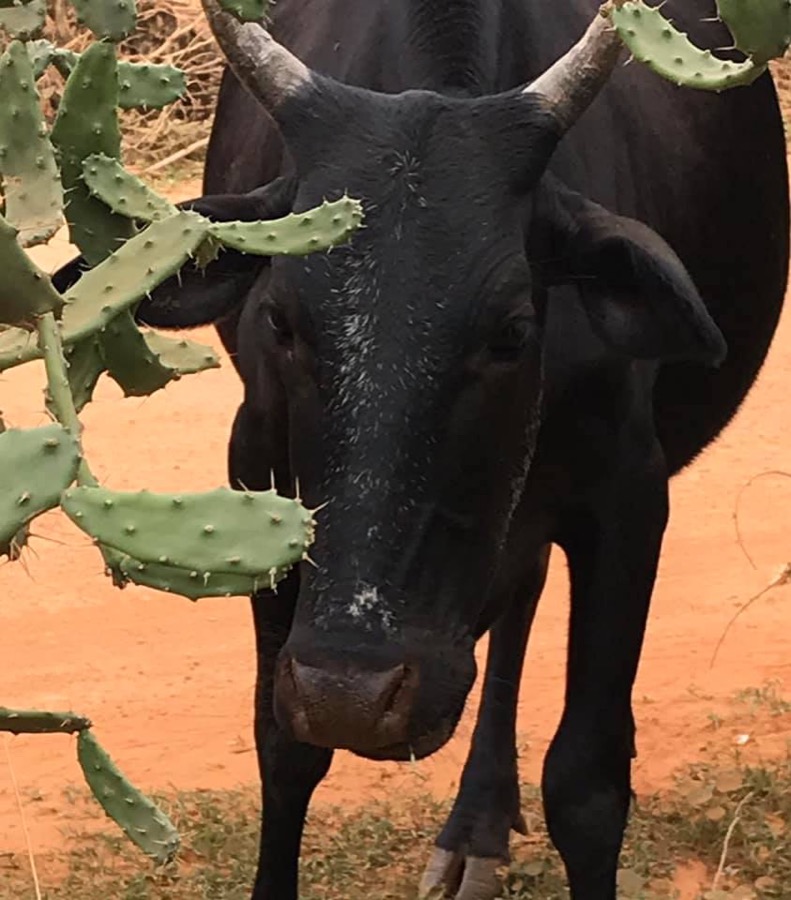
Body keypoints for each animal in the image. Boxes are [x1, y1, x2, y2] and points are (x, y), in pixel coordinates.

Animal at [57, 0, 789, 897]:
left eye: (511, 330)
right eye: (282, 320)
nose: (353, 693)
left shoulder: (627, 493)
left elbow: (585, 785)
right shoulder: (257, 460)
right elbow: (285, 745)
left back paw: (476, 825)